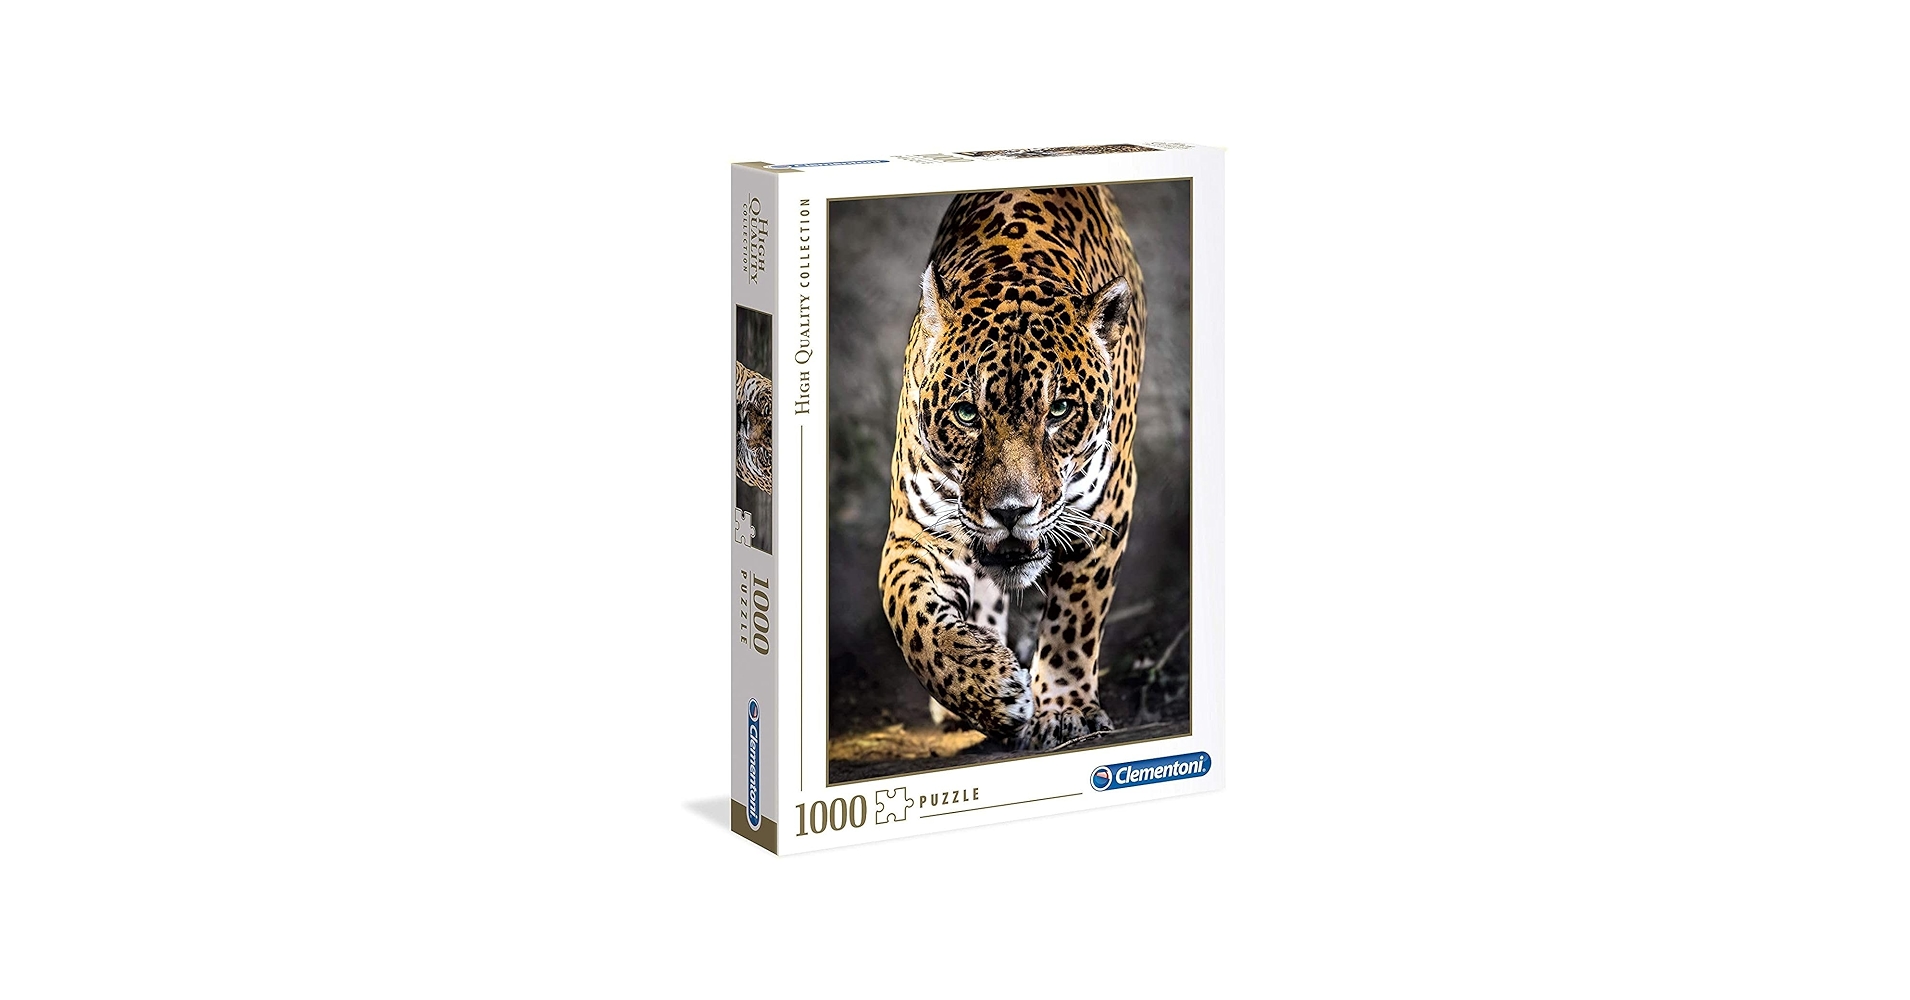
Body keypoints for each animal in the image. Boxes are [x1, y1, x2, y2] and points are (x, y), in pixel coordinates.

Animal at [879, 186, 1144, 752]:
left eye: (1060, 411)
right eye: (966, 414)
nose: (1010, 512)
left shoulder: (1106, 510)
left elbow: (1074, 618)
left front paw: (1064, 709)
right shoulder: (918, 529)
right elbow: (910, 615)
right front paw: (988, 688)